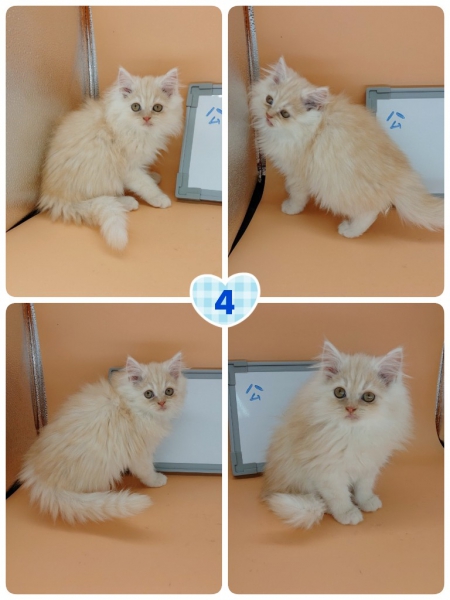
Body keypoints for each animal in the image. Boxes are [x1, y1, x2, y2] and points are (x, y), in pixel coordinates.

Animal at [19, 353, 186, 524]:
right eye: (148, 394)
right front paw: (156, 480)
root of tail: (39, 475)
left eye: (169, 391)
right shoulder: (140, 453)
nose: (162, 403)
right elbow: (146, 471)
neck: (131, 408)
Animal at [38, 67, 183, 250]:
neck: (137, 132)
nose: (146, 118)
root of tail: (51, 195)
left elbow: (146, 176)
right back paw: (127, 202)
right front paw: (159, 197)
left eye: (157, 108)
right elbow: (145, 184)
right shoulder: (128, 168)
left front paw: (153, 176)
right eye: (136, 107)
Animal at [250, 57, 443, 238]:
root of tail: (401, 176)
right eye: (269, 100)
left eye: (285, 114)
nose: (268, 115)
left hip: (334, 188)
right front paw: (288, 192)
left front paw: (291, 207)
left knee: (370, 212)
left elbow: (298, 195)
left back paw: (350, 231)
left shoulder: (299, 173)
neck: (311, 128)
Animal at [262, 341, 413, 528]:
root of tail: (267, 488)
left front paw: (366, 502)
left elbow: (364, 488)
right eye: (340, 392)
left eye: (368, 396)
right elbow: (339, 496)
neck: (353, 433)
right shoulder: (329, 472)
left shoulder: (368, 467)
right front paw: (348, 513)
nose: (350, 408)